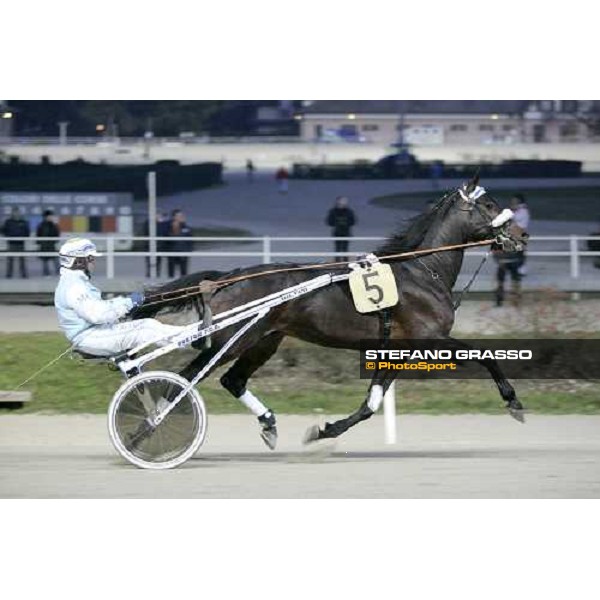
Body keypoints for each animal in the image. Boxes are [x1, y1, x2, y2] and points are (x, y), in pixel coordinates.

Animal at [134, 178, 528, 450]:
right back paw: (145, 430)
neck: (421, 270)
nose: (522, 234)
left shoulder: (396, 347)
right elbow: (486, 355)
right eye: (489, 203)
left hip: (265, 340)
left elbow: (371, 402)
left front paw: (324, 430)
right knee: (182, 379)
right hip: (232, 341)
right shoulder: (430, 337)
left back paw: (268, 424)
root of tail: (228, 276)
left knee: (233, 381)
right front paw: (513, 401)